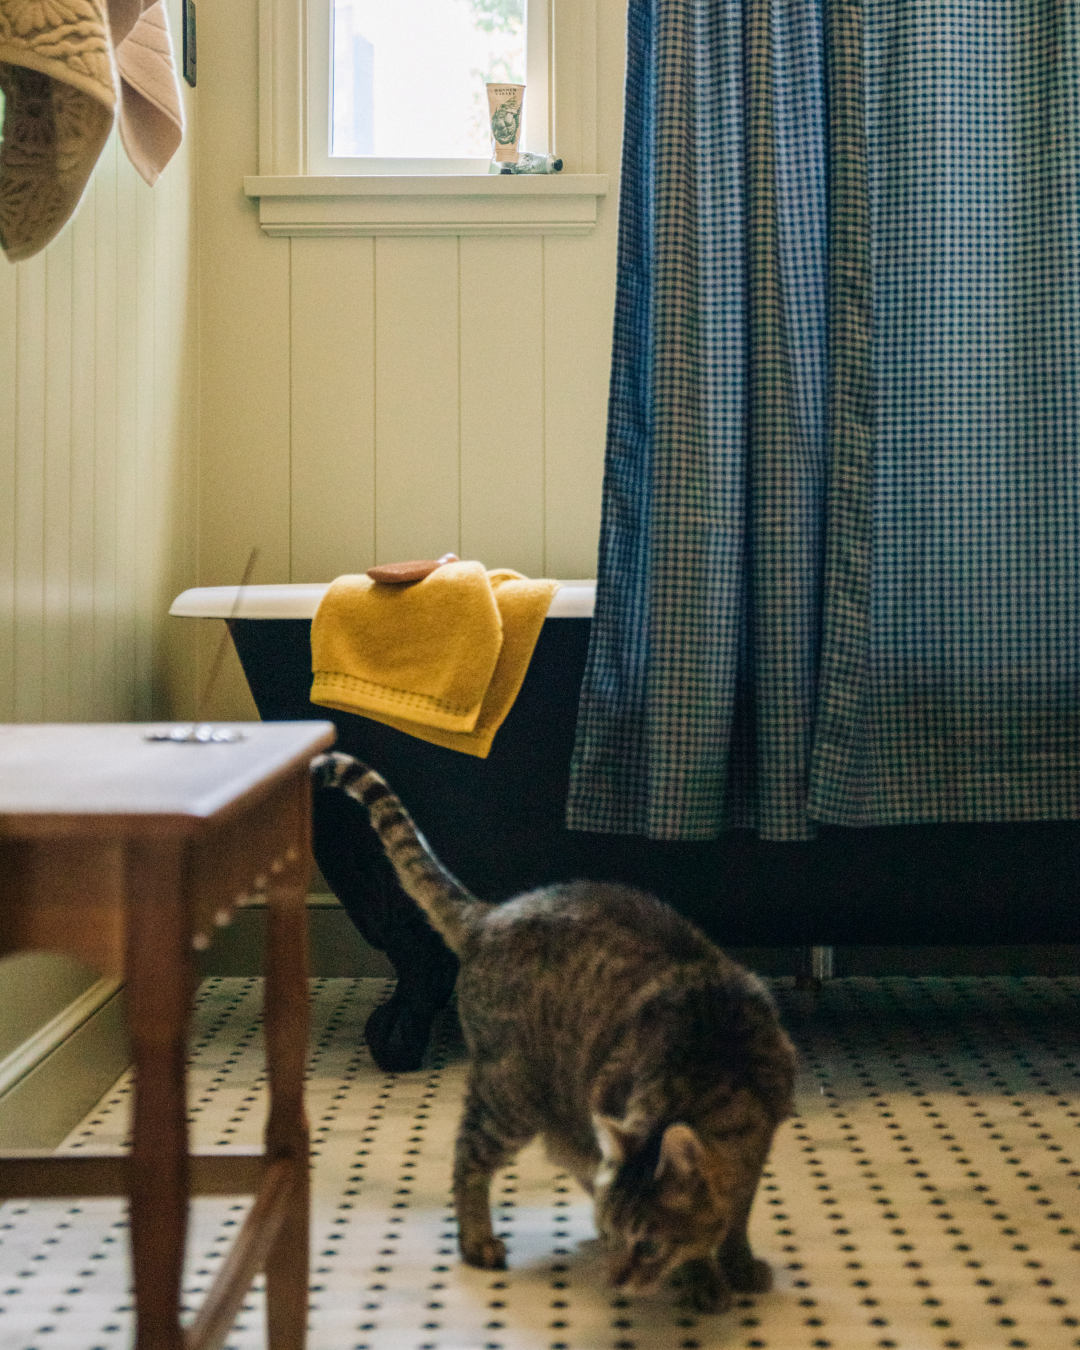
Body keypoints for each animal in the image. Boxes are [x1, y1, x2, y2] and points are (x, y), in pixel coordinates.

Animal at [311, 750, 793, 1306]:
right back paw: (477, 1240)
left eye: (647, 1245)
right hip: (511, 1095)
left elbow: (737, 1214)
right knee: (468, 1158)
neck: (718, 1067)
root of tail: (491, 914)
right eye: (619, 1237)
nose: (614, 1280)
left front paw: (737, 1264)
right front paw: (704, 1281)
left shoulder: (757, 1145)